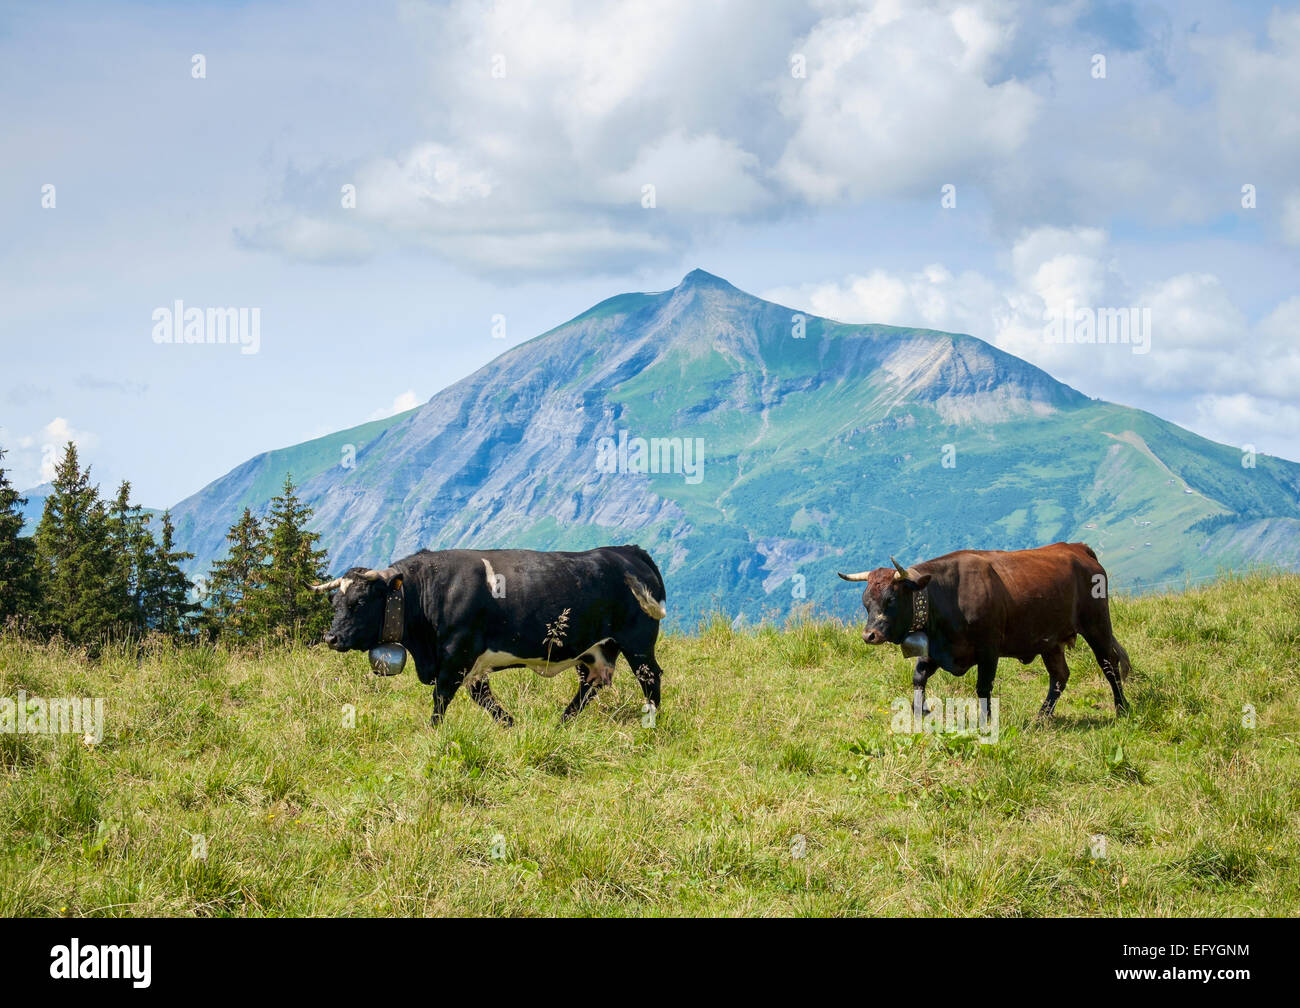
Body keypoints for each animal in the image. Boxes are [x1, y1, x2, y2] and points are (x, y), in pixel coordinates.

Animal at [309, 551, 665, 723]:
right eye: (334, 602)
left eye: (359, 602)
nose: (331, 638)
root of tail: (628, 551)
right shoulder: (471, 664)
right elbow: (483, 698)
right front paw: (510, 723)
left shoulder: (457, 653)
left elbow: (441, 698)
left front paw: (433, 731)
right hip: (594, 651)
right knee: (591, 684)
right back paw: (563, 723)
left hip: (637, 642)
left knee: (650, 678)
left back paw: (651, 723)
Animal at [842, 543, 1128, 723]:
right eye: (866, 602)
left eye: (890, 599)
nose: (869, 635)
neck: (946, 595)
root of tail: (1076, 548)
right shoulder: (937, 649)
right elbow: (918, 677)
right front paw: (920, 711)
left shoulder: (989, 648)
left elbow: (982, 686)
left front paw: (985, 720)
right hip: (1050, 640)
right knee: (1060, 675)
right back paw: (1042, 717)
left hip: (1097, 623)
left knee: (1109, 664)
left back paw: (1122, 709)